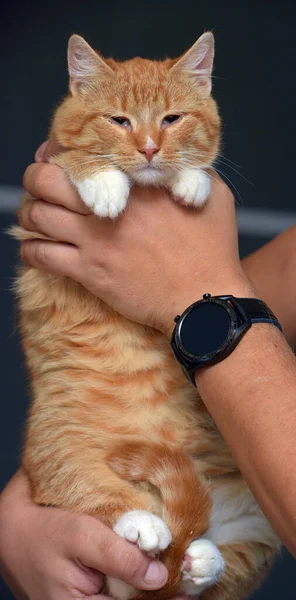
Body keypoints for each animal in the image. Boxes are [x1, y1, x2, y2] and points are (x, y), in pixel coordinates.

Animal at [13, 34, 280, 600]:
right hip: (57, 444)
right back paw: (144, 526)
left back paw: (199, 557)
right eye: (119, 121)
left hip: (256, 511)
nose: (151, 149)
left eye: (172, 118)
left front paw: (193, 180)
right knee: (99, 509)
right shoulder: (39, 196)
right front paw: (105, 186)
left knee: (205, 570)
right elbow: (72, 157)